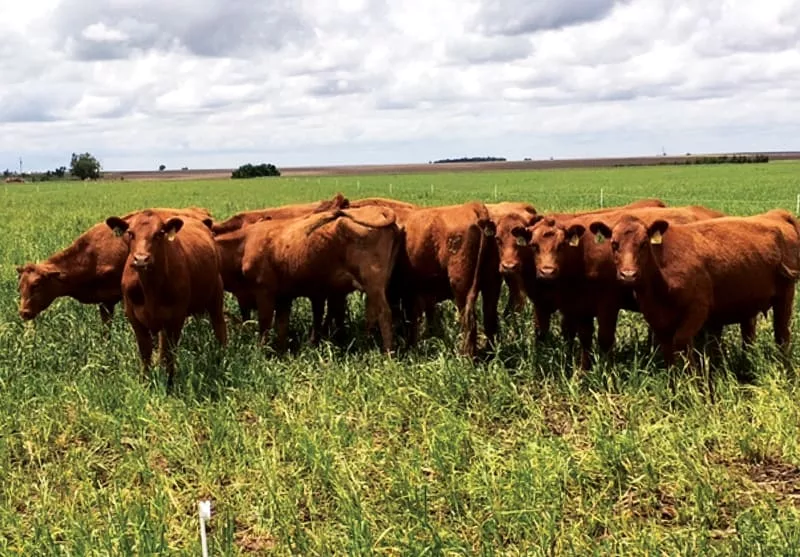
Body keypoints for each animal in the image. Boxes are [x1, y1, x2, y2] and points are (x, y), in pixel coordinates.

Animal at [104, 210, 227, 386]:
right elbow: (146, 353)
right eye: (130, 233)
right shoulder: (134, 317)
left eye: (159, 233)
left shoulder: (176, 317)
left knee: (219, 327)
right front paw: (145, 382)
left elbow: (170, 354)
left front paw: (169, 383)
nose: (141, 259)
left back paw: (222, 358)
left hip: (216, 296)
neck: (150, 288)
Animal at [238, 207, 402, 353]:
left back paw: (387, 353)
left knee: (384, 313)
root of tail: (380, 210)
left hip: (372, 283)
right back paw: (366, 342)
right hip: (377, 285)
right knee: (372, 314)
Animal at [525, 205, 726, 369]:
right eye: (533, 246)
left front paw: (607, 373)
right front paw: (583, 372)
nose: (547, 272)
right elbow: (584, 339)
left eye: (561, 245)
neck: (583, 254)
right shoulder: (579, 307)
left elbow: (605, 339)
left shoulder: (608, 304)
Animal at [589, 209, 800, 367]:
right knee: (749, 335)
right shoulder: (658, 320)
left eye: (643, 244)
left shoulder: (697, 310)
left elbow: (682, 344)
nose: (628, 275)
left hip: (785, 296)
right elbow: (668, 353)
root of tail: (777, 214)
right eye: (614, 244)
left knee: (782, 335)